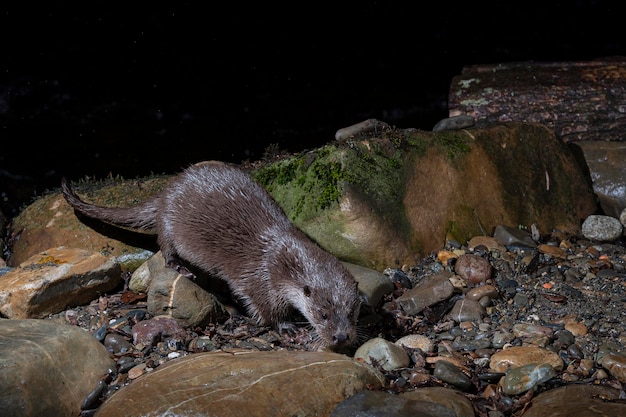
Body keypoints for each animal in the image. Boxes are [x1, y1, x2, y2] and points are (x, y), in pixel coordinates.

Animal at [62, 160, 360, 348]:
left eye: (352, 312)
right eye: (323, 314)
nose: (341, 337)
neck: (280, 260)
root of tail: (167, 192)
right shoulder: (261, 281)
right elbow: (266, 309)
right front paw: (287, 327)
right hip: (169, 223)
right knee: (165, 247)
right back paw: (181, 268)